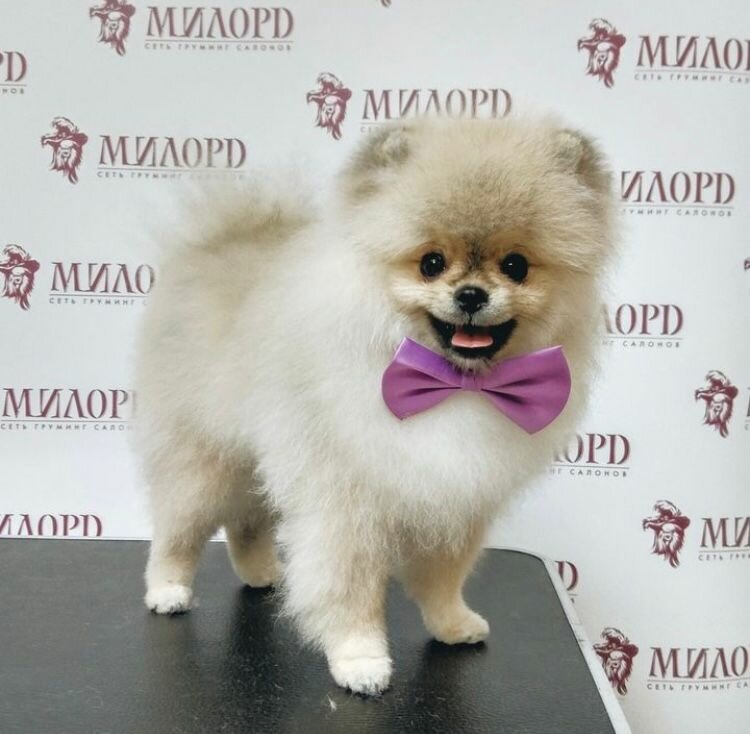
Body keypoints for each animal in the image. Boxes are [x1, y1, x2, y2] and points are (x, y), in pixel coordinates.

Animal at [135, 116, 617, 695]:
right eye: (431, 263)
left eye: (516, 265)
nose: (471, 294)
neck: (452, 384)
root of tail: (218, 241)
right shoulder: (348, 504)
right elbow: (350, 586)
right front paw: (360, 658)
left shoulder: (455, 495)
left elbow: (443, 576)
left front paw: (451, 623)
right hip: (203, 456)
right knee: (178, 526)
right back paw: (167, 589)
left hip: (257, 456)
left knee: (248, 519)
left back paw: (263, 573)